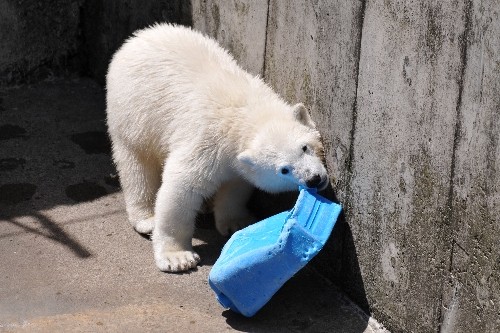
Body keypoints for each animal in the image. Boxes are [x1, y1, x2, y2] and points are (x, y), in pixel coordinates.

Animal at [106, 24, 328, 272]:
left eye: (305, 147)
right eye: (284, 169)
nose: (314, 179)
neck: (245, 111)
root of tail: (139, 36)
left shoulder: (236, 160)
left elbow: (235, 186)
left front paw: (236, 222)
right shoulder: (206, 142)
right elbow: (181, 188)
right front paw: (178, 257)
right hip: (133, 112)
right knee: (137, 164)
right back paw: (146, 218)